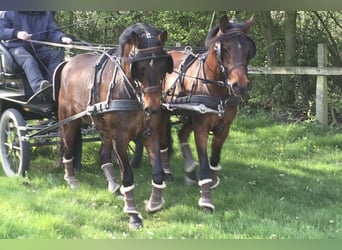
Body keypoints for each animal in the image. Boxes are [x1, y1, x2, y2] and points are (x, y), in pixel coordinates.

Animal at [57, 23, 174, 229]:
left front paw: (154, 203)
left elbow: (158, 171)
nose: (153, 107)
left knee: (104, 154)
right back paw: (71, 179)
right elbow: (127, 175)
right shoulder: (120, 138)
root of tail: (68, 63)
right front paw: (133, 215)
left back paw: (113, 187)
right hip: (69, 123)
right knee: (68, 148)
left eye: (162, 66)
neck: (128, 89)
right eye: (140, 67)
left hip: (104, 129)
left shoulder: (150, 133)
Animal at [159, 15, 255, 211]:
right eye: (224, 49)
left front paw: (213, 179)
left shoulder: (224, 127)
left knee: (181, 134)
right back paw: (167, 172)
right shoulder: (201, 127)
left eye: (249, 50)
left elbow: (215, 157)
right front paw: (206, 199)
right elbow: (204, 162)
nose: (240, 85)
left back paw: (189, 170)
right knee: (163, 141)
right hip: (164, 113)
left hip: (189, 116)